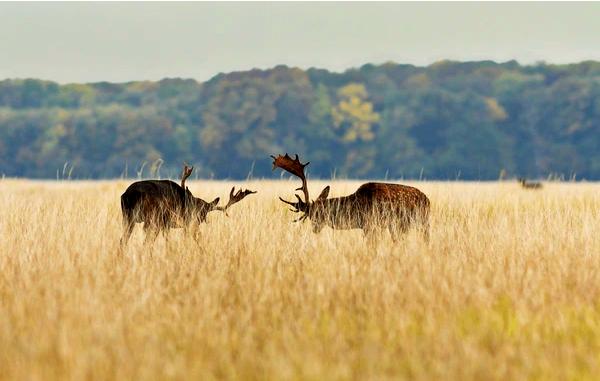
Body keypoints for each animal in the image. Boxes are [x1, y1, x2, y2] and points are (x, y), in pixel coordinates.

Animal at [119, 164, 255, 246]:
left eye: (204, 214)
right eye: (199, 211)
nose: (197, 222)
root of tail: (128, 194)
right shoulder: (170, 221)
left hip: (128, 217)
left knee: (123, 240)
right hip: (151, 218)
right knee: (146, 241)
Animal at [272, 152, 432, 239]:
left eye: (319, 213)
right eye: (311, 216)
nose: (315, 229)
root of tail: (427, 200)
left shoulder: (370, 224)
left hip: (419, 222)